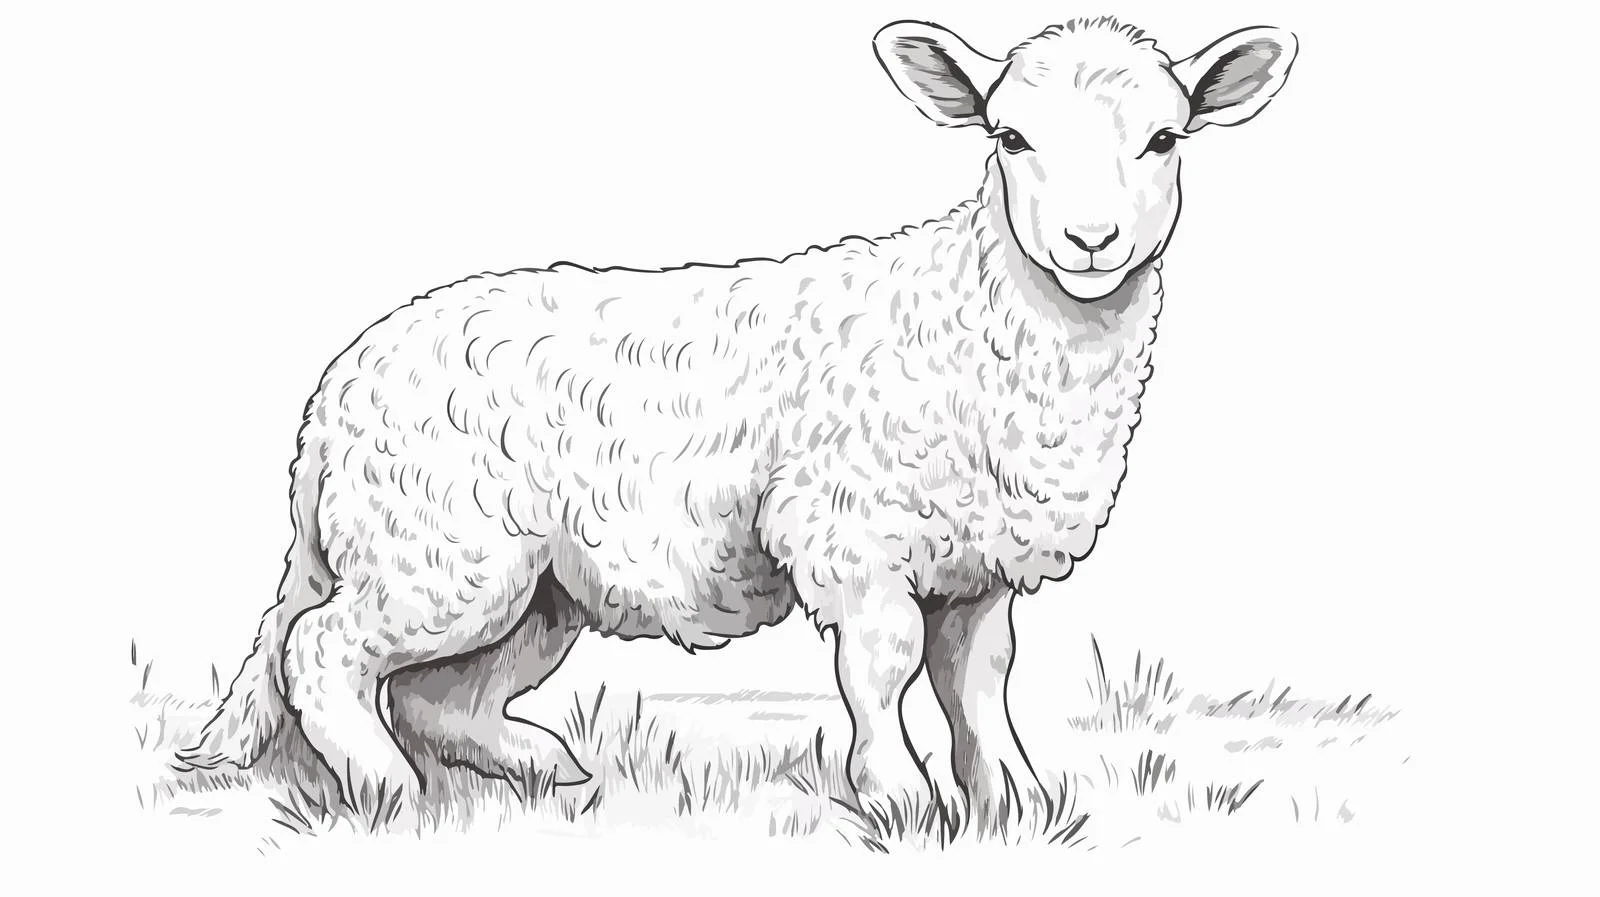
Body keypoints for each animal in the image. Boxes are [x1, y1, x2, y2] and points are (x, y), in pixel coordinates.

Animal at [177, 16, 1298, 829]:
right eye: (1009, 137)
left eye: (1164, 139)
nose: (1090, 240)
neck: (986, 313)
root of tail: (331, 400)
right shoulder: (852, 531)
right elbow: (883, 663)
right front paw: (899, 797)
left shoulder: (977, 558)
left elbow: (978, 681)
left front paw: (1014, 800)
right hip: (439, 547)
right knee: (324, 651)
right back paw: (388, 793)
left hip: (533, 582)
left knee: (436, 691)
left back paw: (539, 766)